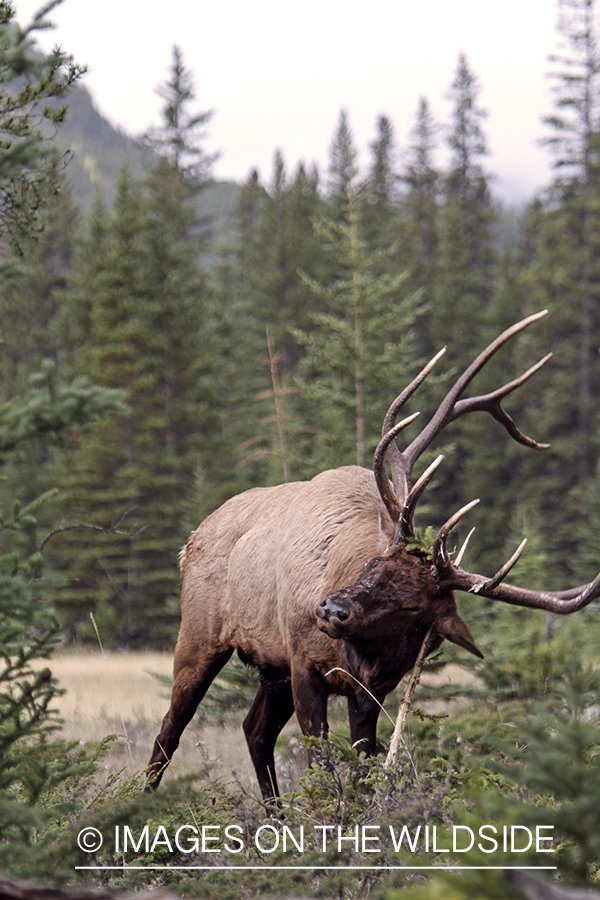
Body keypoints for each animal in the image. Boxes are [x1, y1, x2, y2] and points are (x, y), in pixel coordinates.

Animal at [148, 312, 600, 800]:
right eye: (373, 564)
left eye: (414, 605)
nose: (331, 608)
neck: (359, 653)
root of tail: (192, 538)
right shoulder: (303, 664)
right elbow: (321, 765)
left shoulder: (372, 689)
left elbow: (360, 763)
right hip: (200, 637)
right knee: (170, 729)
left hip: (269, 667)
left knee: (255, 731)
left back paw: (274, 812)